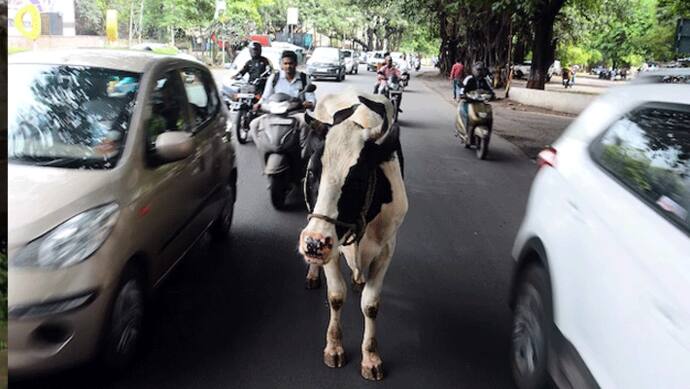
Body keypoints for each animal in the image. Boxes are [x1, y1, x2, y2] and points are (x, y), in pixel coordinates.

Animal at [298, 88, 406, 378]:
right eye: (312, 172)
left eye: (356, 179)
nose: (313, 243)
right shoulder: (331, 247)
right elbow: (336, 296)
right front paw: (334, 348)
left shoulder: (388, 247)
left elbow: (371, 304)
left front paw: (371, 357)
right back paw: (313, 273)